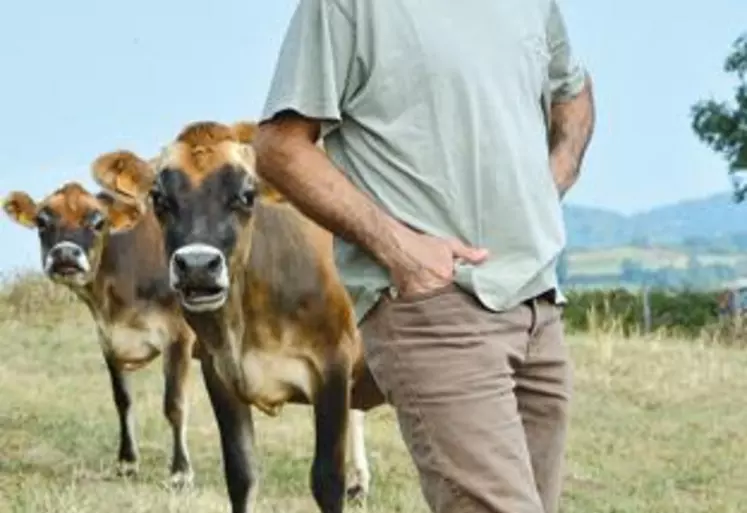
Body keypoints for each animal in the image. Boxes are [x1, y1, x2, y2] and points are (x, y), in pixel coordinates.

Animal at [1, 181, 199, 488]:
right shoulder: (109, 339)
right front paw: (127, 463)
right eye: (41, 221)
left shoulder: (179, 335)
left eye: (98, 222)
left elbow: (174, 405)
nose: (65, 254)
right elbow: (123, 401)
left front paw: (180, 472)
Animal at [92, 121, 386, 512]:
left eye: (248, 195)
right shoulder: (218, 371)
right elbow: (241, 474)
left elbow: (326, 479)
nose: (197, 267)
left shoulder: (333, 364)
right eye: (158, 197)